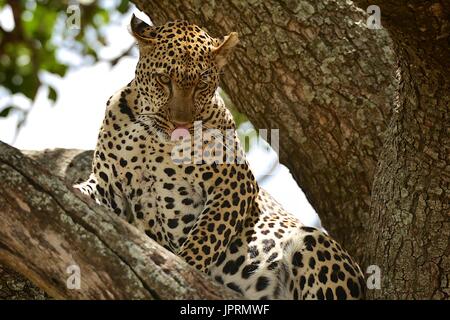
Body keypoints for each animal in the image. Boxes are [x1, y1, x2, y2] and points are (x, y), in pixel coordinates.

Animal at [75, 14, 366, 300]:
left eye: (202, 84)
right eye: (164, 80)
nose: (180, 124)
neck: (154, 139)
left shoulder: (234, 184)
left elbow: (206, 236)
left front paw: (185, 270)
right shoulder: (109, 185)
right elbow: (88, 191)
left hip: (312, 241)